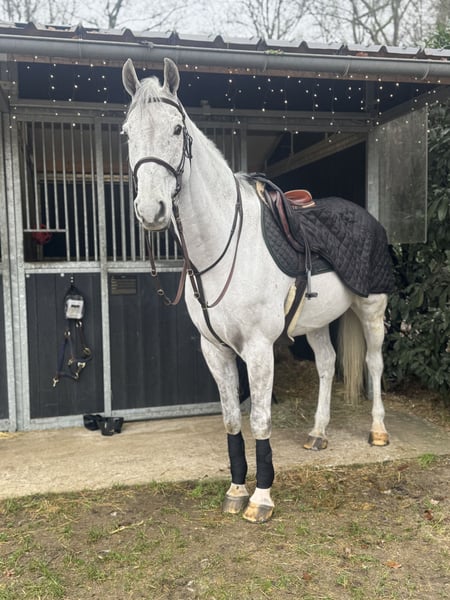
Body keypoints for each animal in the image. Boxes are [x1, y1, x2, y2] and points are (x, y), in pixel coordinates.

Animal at [122, 57, 391, 523]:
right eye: (126, 132)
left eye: (176, 129)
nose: (150, 210)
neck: (222, 248)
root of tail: (364, 215)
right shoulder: (215, 350)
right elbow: (232, 420)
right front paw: (235, 489)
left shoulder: (259, 348)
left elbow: (260, 420)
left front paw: (261, 497)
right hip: (316, 323)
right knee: (326, 365)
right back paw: (318, 433)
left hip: (372, 309)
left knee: (374, 364)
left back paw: (377, 431)